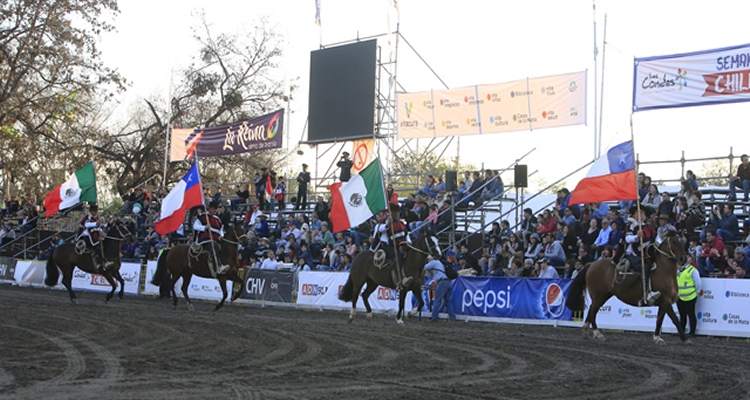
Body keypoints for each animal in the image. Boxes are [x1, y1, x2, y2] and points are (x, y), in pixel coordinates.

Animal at [564, 230, 692, 346]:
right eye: (674, 242)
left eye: (683, 242)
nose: (683, 259)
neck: (663, 271)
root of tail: (592, 264)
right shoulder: (666, 302)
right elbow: (675, 319)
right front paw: (685, 339)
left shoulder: (663, 303)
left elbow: (659, 320)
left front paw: (657, 338)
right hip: (598, 295)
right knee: (593, 312)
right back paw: (598, 334)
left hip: (604, 295)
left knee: (591, 310)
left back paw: (586, 331)